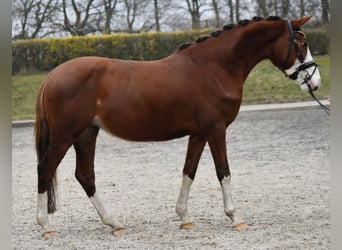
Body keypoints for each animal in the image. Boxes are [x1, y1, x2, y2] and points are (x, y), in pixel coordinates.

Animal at [34, 16, 320, 237]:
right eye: (302, 44)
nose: (315, 82)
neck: (213, 68)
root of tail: (52, 75)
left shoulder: (199, 133)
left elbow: (189, 171)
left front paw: (184, 217)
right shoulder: (216, 130)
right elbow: (223, 172)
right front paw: (235, 216)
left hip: (85, 134)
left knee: (85, 175)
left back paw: (114, 223)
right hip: (65, 136)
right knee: (45, 169)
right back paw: (46, 225)